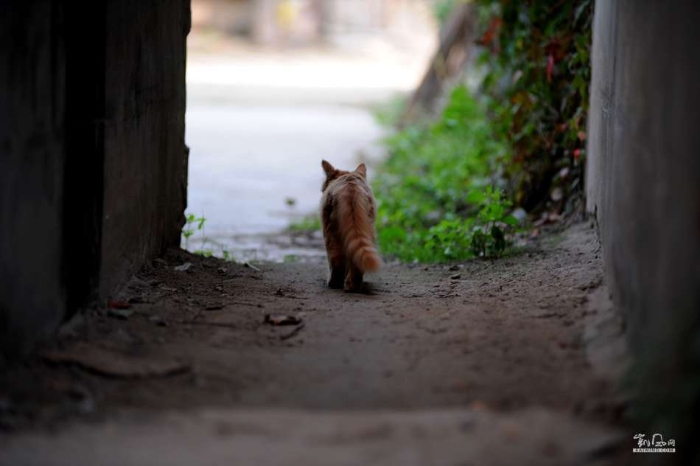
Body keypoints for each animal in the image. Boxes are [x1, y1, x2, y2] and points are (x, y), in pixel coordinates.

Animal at [320, 160, 380, 292]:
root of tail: (350, 187)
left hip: (331, 233)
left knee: (336, 261)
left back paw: (335, 283)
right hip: (367, 229)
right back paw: (352, 285)